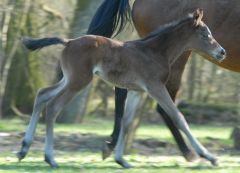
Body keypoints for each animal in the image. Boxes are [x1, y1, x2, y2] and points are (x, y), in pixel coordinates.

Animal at [17, 9, 226, 168]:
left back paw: (24, 149)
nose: (222, 52)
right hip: (79, 80)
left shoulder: (137, 91)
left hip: (69, 79)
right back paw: (50, 158)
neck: (156, 51)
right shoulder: (155, 87)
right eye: (206, 34)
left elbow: (127, 121)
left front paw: (121, 160)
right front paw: (209, 156)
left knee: (42, 94)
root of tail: (68, 41)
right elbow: (178, 117)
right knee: (53, 107)